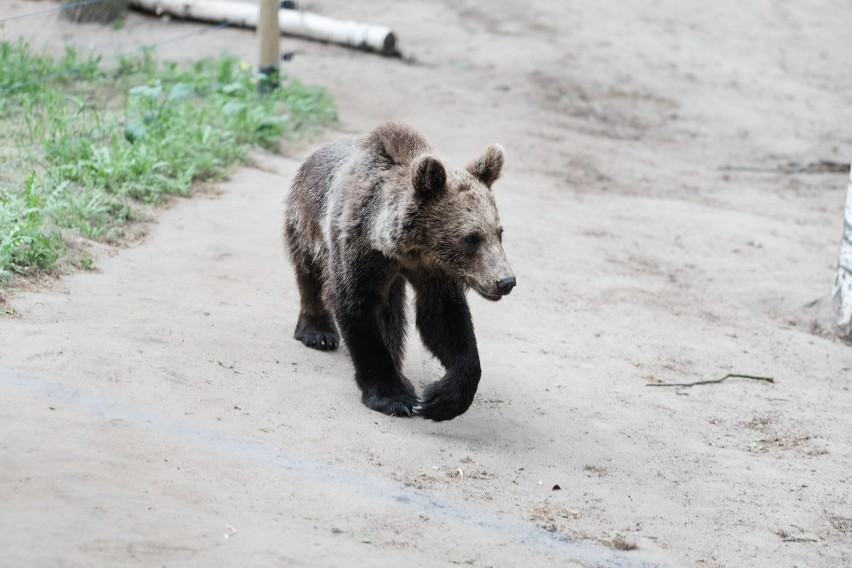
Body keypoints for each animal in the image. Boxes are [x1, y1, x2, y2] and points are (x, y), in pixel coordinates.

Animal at [284, 121, 512, 422]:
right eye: (471, 238)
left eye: (499, 232)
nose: (506, 281)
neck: (401, 250)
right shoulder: (358, 249)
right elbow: (358, 308)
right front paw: (394, 396)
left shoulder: (434, 271)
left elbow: (445, 320)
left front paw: (441, 399)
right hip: (308, 217)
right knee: (308, 271)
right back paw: (317, 331)